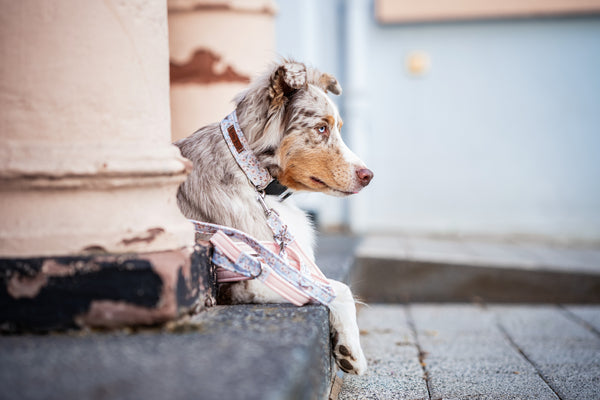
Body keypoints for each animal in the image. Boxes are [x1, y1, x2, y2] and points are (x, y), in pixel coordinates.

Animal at [175, 60, 370, 376]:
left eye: (338, 128)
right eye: (321, 127)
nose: (369, 176)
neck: (254, 178)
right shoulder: (243, 277)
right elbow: (339, 288)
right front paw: (351, 351)